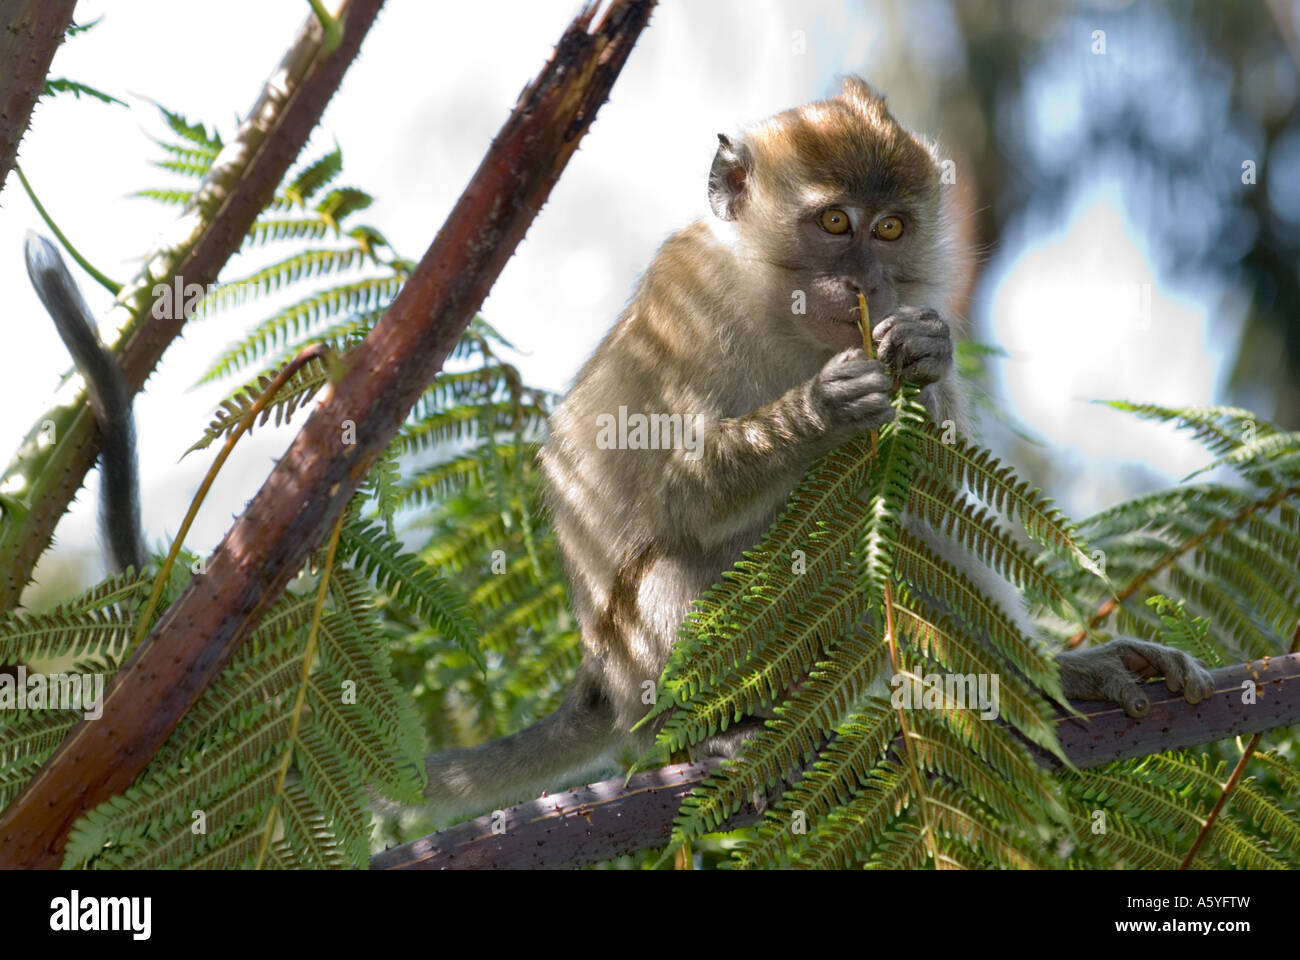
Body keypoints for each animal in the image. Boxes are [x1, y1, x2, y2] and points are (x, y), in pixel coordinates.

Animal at [423, 78, 1216, 816]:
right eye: (836, 221)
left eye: (891, 229)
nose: (866, 281)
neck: (785, 311)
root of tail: (601, 687)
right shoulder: (687, 298)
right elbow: (670, 491)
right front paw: (817, 411)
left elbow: (932, 474)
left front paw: (926, 357)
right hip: (651, 673)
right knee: (676, 567)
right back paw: (709, 734)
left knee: (911, 517)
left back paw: (1036, 681)